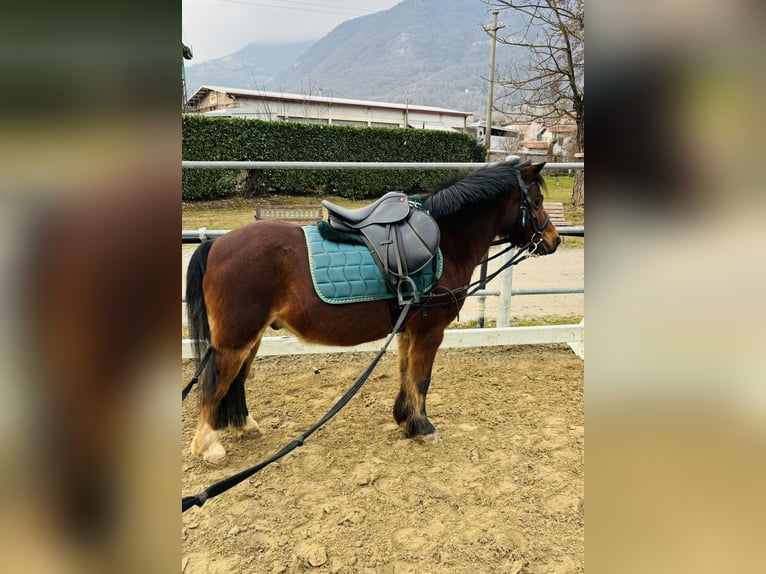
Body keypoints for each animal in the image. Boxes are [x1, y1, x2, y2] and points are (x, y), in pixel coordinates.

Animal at [186, 160, 561, 465]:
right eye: (536, 202)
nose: (554, 240)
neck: (444, 241)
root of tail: (216, 244)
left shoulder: (408, 331)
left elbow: (405, 373)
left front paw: (405, 420)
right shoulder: (430, 332)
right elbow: (421, 378)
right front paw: (423, 428)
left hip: (252, 337)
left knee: (237, 380)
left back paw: (242, 426)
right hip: (236, 340)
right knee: (216, 383)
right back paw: (208, 447)